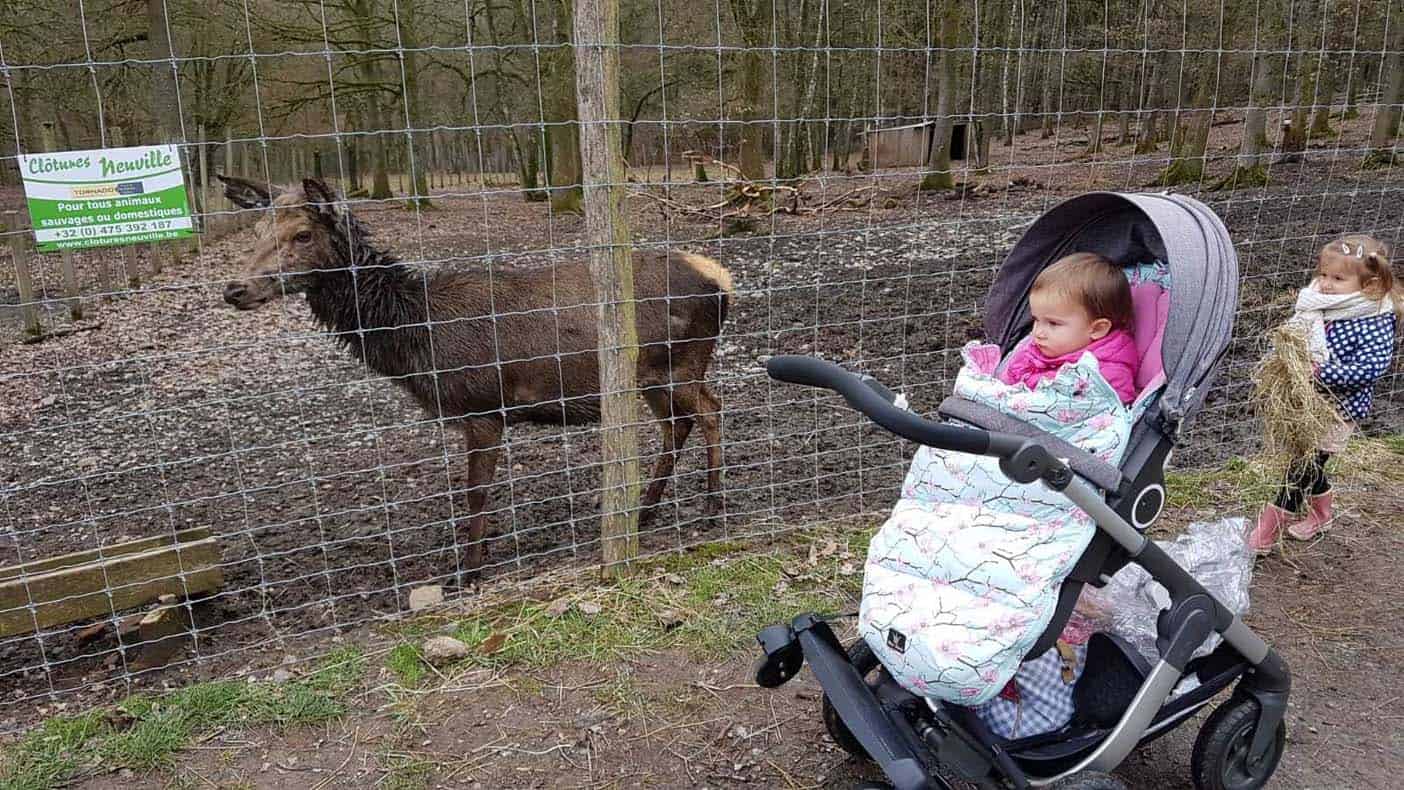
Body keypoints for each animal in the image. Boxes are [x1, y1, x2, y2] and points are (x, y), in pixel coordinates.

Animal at [219, 177, 735, 575]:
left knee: (711, 410)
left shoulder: (482, 405)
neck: (417, 336)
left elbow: (475, 491)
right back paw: (645, 511)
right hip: (652, 376)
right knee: (677, 425)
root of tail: (722, 278)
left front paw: (467, 569)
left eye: (303, 234)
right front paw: (476, 557)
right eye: (257, 229)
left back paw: (712, 505)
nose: (234, 288)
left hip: (680, 363)